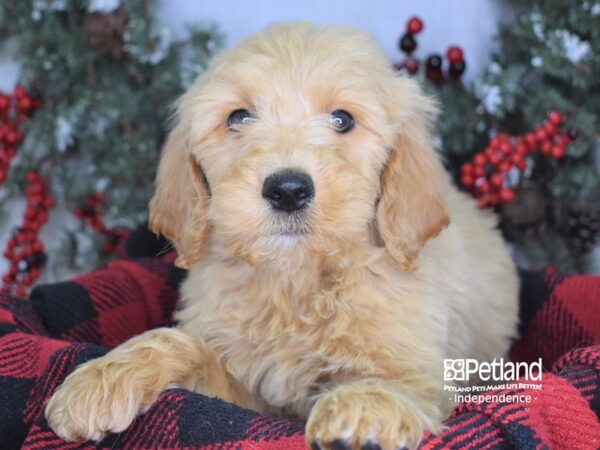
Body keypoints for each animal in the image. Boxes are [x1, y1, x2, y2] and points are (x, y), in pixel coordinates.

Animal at [44, 22, 516, 448]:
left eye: (343, 119)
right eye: (238, 117)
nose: (288, 190)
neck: (296, 279)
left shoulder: (421, 372)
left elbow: (394, 383)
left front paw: (359, 409)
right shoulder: (246, 393)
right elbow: (180, 345)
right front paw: (103, 377)